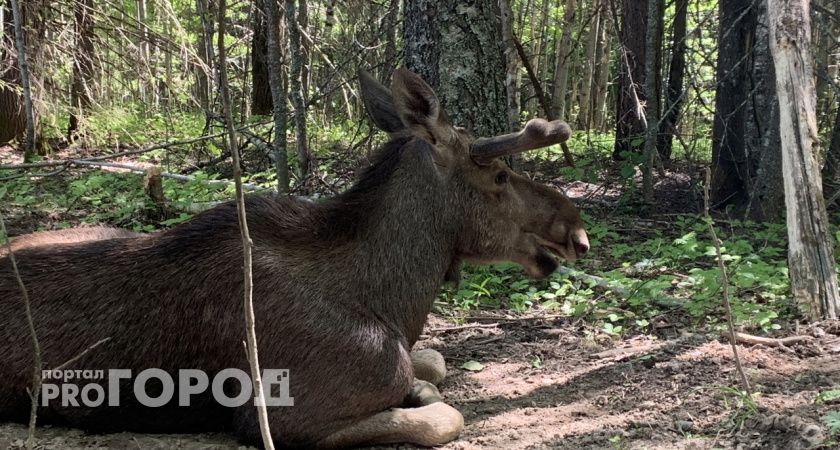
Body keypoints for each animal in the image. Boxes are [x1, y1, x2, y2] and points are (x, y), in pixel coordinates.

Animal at [0, 68, 592, 448]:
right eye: (499, 176)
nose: (577, 232)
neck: (392, 301)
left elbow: (434, 360)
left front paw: (419, 382)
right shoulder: (284, 415)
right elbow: (443, 416)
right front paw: (420, 394)